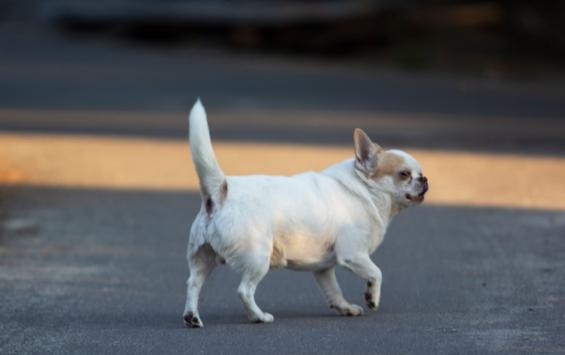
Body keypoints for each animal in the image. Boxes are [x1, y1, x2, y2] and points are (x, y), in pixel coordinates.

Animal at [182, 100, 428, 328]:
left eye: (420, 172)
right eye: (404, 174)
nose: (424, 179)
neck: (363, 189)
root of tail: (220, 190)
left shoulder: (324, 269)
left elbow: (334, 291)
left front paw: (345, 308)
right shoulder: (353, 254)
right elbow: (376, 273)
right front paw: (372, 298)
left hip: (202, 259)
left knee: (193, 284)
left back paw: (192, 317)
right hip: (258, 259)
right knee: (244, 290)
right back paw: (259, 316)